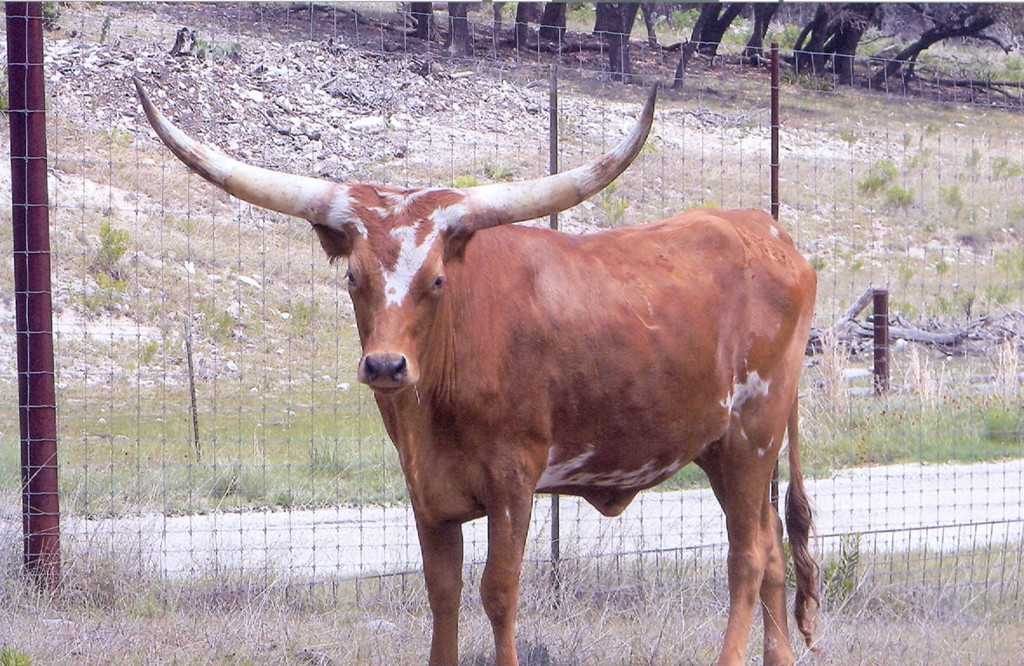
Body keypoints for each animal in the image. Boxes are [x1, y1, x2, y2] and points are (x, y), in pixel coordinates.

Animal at [135, 77, 819, 666]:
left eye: (437, 279)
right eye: (353, 277)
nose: (385, 364)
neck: (434, 405)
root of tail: (769, 230)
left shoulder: (513, 482)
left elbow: (498, 592)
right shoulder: (427, 490)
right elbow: (442, 594)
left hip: (752, 438)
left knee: (747, 558)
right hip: (723, 448)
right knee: (773, 551)